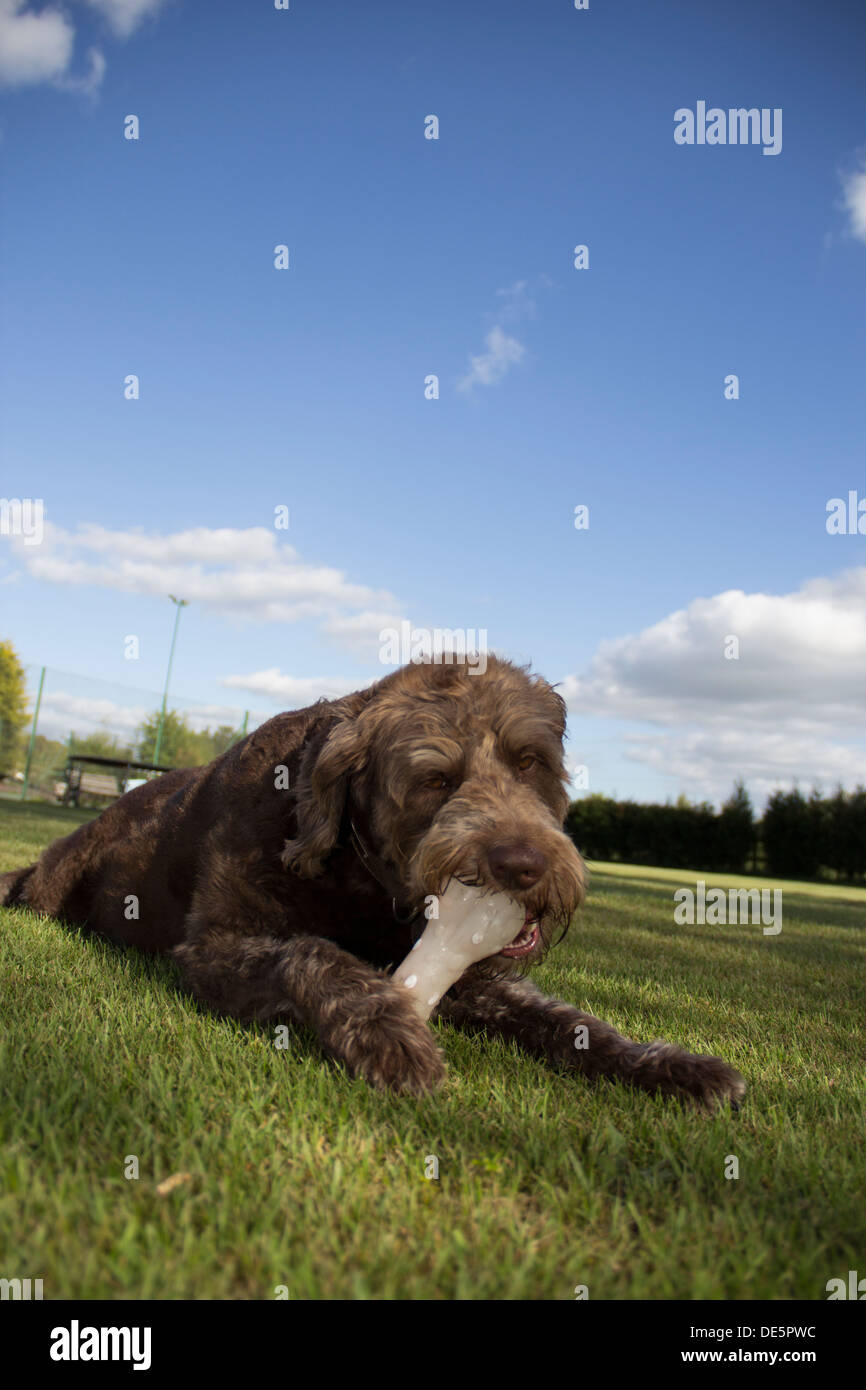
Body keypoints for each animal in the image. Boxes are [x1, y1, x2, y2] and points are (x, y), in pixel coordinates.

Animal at [0, 658, 745, 1106]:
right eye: (435, 780)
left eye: (530, 762)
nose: (524, 865)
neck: (364, 883)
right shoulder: (215, 947)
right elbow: (313, 953)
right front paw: (388, 1027)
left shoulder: (481, 980)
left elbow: (575, 1021)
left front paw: (667, 1064)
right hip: (54, 882)